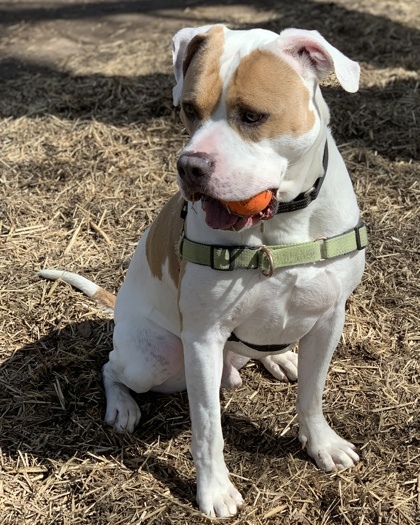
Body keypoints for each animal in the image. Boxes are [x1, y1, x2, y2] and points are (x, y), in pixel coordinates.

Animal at [40, 24, 368, 516]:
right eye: (188, 110)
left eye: (252, 116)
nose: (190, 166)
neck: (280, 226)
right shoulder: (203, 340)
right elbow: (209, 429)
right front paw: (215, 490)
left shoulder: (330, 318)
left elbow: (312, 394)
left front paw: (321, 443)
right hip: (153, 360)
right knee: (112, 367)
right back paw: (122, 406)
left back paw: (279, 358)